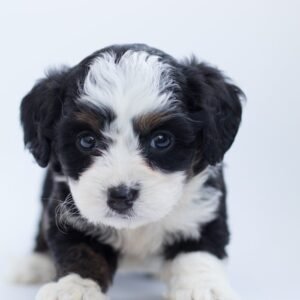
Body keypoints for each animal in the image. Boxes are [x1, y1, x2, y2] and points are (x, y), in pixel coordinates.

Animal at [16, 43, 244, 298]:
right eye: (87, 141)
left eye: (161, 140)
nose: (120, 196)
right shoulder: (68, 211)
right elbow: (80, 250)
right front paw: (74, 287)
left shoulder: (201, 208)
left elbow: (197, 251)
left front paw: (201, 288)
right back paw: (35, 264)